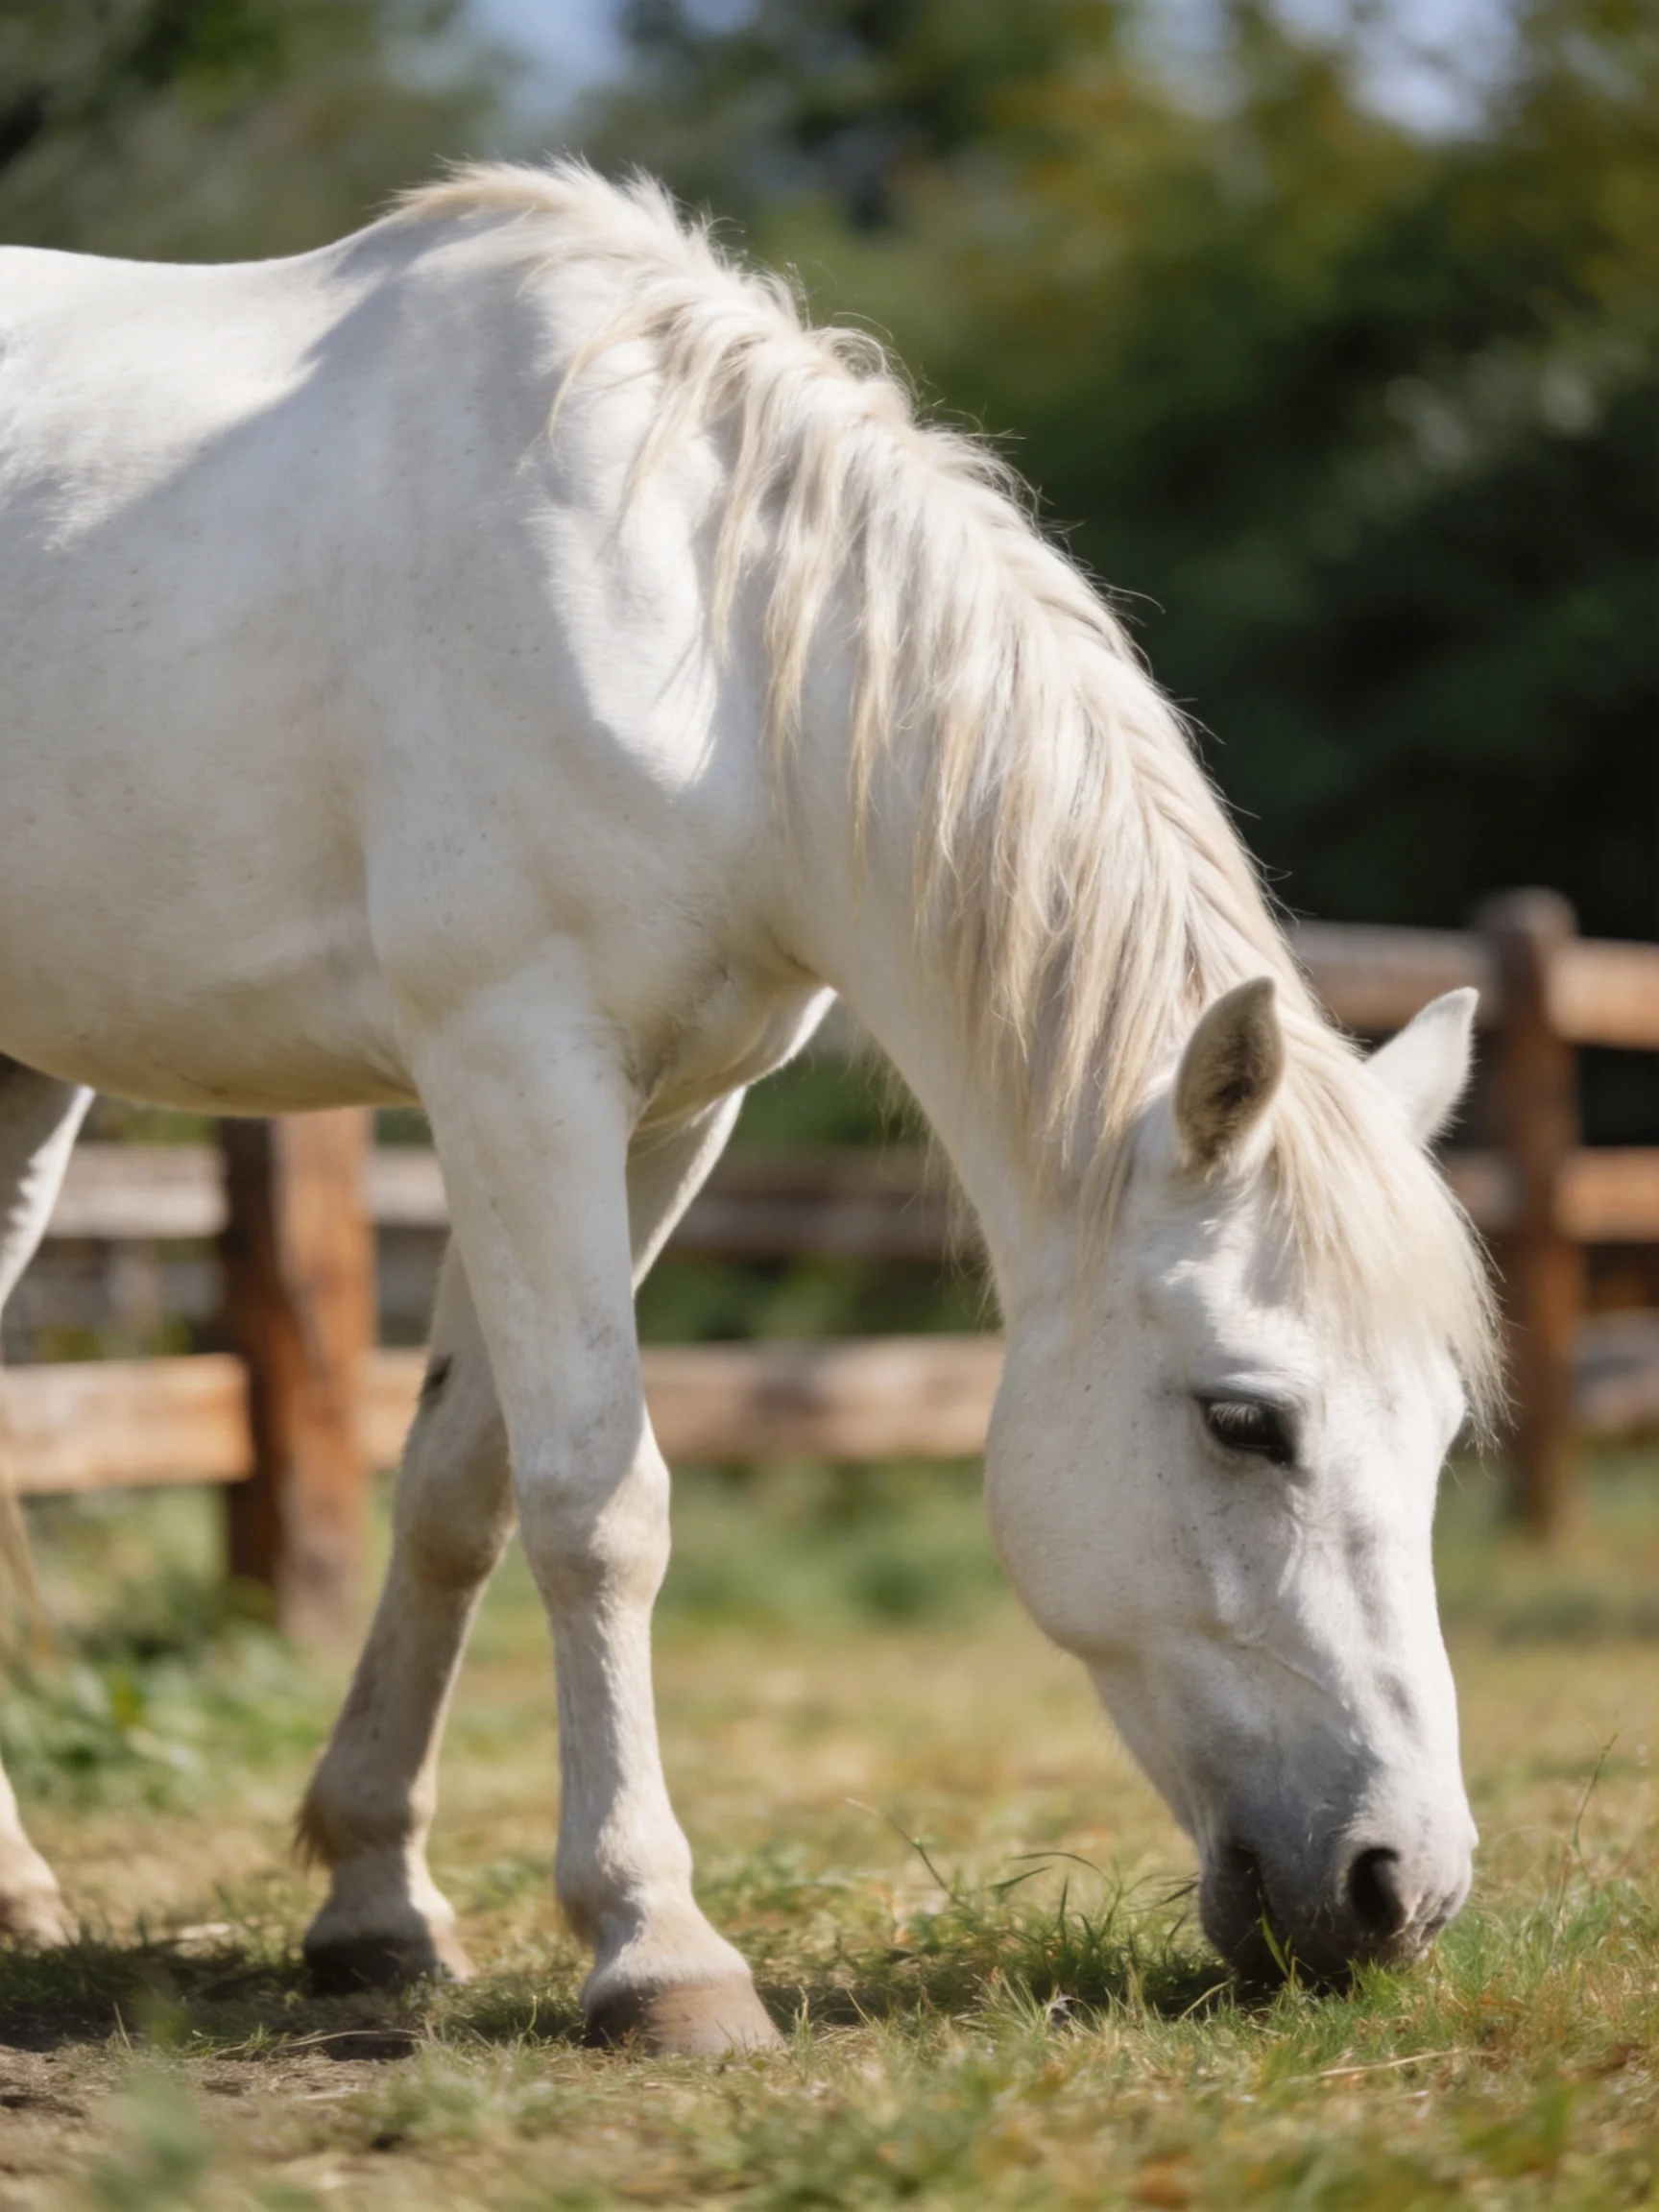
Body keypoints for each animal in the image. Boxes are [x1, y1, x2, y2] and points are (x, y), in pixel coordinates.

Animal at [0, 161, 1499, 2053]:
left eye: (1440, 1432)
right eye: (1245, 1420)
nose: (1399, 1891)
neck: (690, 633)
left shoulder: (663, 1115)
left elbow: (461, 1487)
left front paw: (374, 1902)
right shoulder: (514, 1069)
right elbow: (599, 1500)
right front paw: (656, 1947)